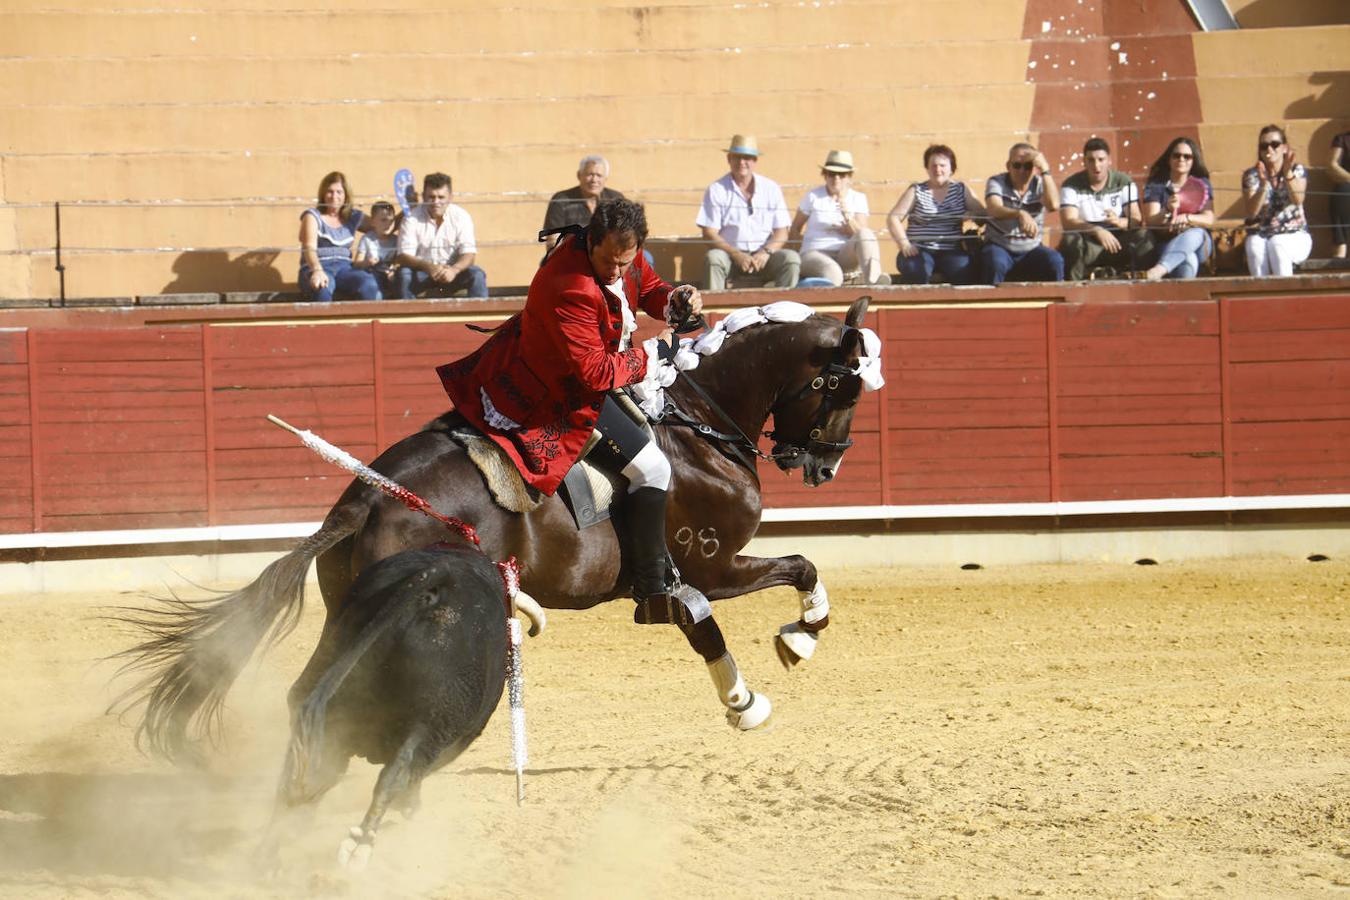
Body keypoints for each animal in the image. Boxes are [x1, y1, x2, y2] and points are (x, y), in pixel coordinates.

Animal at [113, 299, 874, 766]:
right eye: (843, 386)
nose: (827, 465)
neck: (698, 421)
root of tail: (367, 498)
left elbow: (756, 593)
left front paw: (778, 659)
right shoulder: (712, 568)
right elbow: (790, 571)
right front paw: (784, 658)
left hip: (349, 614)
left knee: (315, 693)